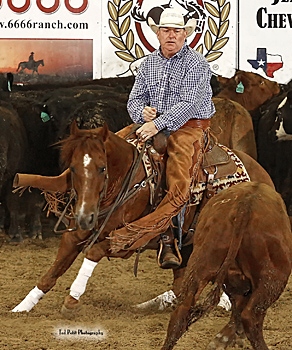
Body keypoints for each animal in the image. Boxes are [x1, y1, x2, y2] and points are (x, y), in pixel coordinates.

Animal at [12, 121, 274, 314]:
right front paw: (22, 307)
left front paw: (73, 297)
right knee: (183, 281)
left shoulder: (128, 241)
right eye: (74, 168)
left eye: (102, 168)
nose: (85, 216)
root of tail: (262, 176)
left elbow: (93, 252)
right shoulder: (76, 234)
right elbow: (52, 272)